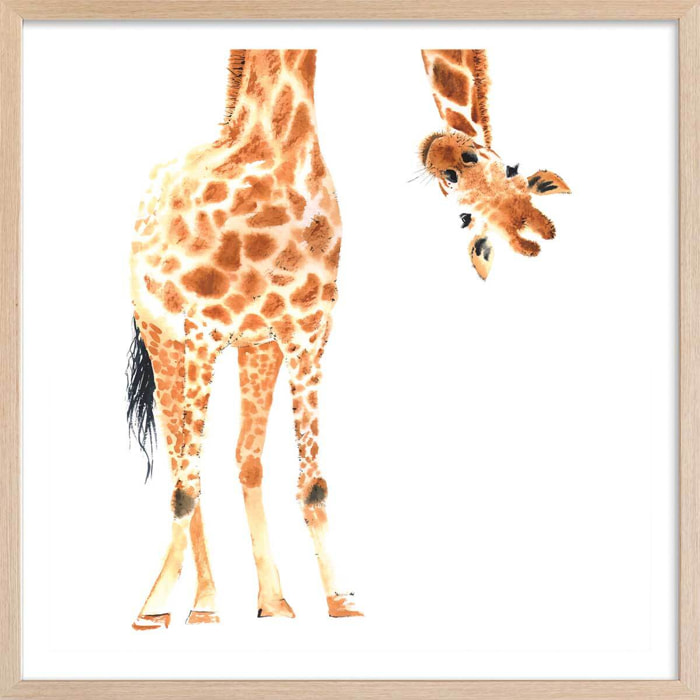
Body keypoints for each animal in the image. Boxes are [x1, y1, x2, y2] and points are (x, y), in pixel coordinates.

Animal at [127, 49, 361, 629]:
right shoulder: (203, 330)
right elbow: (185, 486)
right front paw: (153, 608)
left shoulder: (307, 332)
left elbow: (314, 482)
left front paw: (341, 600)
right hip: (163, 339)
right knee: (180, 461)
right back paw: (201, 603)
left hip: (256, 347)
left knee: (243, 456)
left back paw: (270, 600)